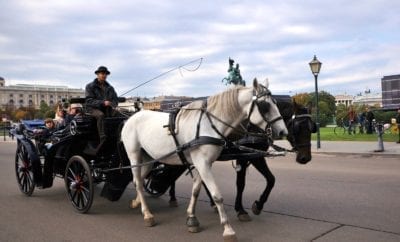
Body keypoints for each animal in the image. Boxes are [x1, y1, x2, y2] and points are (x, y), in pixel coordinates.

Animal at [122, 78, 288, 241]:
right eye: (265, 106)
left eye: (275, 102)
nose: (283, 132)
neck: (207, 125)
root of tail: (131, 117)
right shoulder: (203, 164)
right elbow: (217, 195)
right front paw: (228, 229)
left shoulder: (203, 163)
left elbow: (196, 190)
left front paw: (192, 218)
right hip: (134, 155)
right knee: (138, 181)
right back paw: (147, 214)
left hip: (149, 158)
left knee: (139, 180)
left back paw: (137, 202)